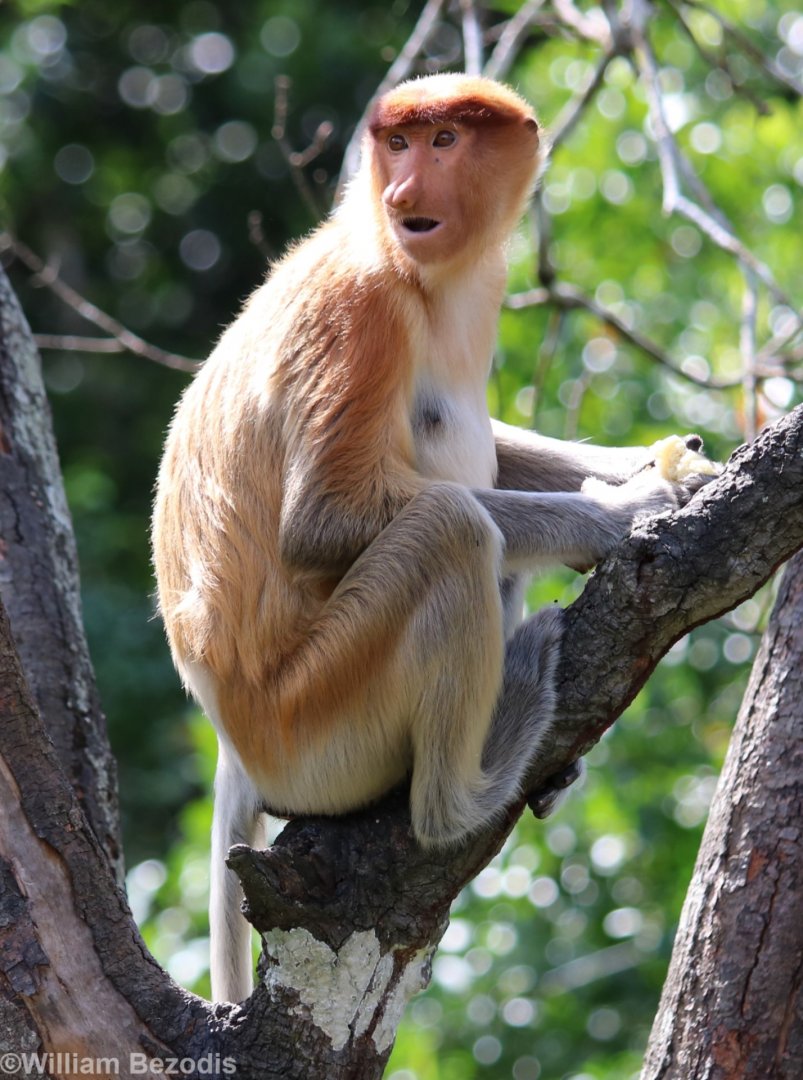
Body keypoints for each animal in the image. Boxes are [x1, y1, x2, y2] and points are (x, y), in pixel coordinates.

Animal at [151, 74, 714, 1002]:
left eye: (444, 139)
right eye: (399, 144)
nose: (405, 192)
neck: (419, 275)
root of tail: (233, 739)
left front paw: (676, 461)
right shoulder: (361, 309)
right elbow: (323, 520)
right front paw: (630, 507)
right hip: (314, 723)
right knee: (451, 528)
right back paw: (472, 784)